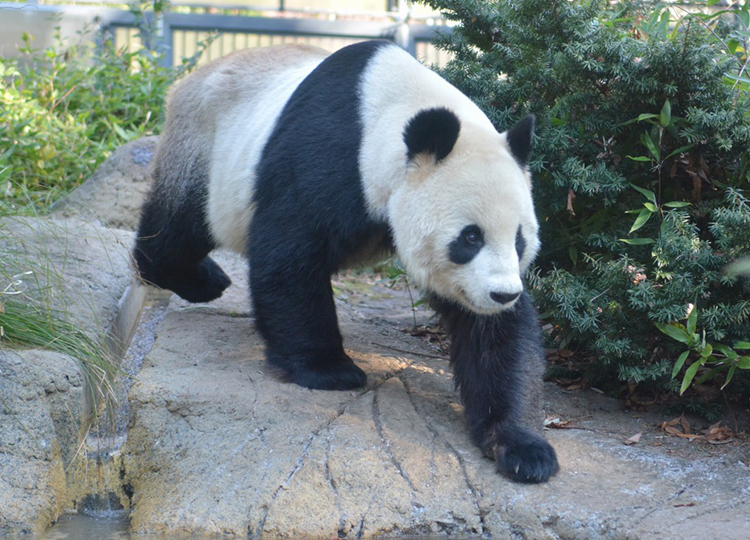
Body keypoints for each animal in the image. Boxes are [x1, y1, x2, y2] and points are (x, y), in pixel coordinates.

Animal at [134, 40, 560, 484]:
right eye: (471, 237)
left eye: (519, 239)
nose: (502, 294)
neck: (388, 112)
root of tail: (190, 80)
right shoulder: (326, 155)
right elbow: (289, 256)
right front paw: (329, 370)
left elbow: (494, 336)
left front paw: (522, 447)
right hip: (204, 147)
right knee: (179, 226)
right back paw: (198, 278)